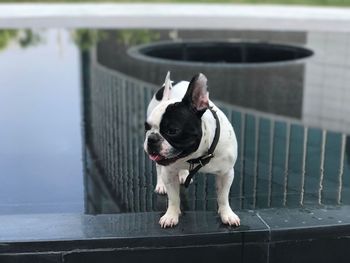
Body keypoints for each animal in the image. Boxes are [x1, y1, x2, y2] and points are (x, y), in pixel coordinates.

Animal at [144, 72, 239, 229]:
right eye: (146, 127)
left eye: (172, 131)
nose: (151, 138)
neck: (196, 156)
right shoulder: (169, 173)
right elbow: (173, 198)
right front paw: (171, 215)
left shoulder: (226, 173)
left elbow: (223, 197)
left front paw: (227, 214)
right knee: (158, 167)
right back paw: (161, 184)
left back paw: (183, 175)